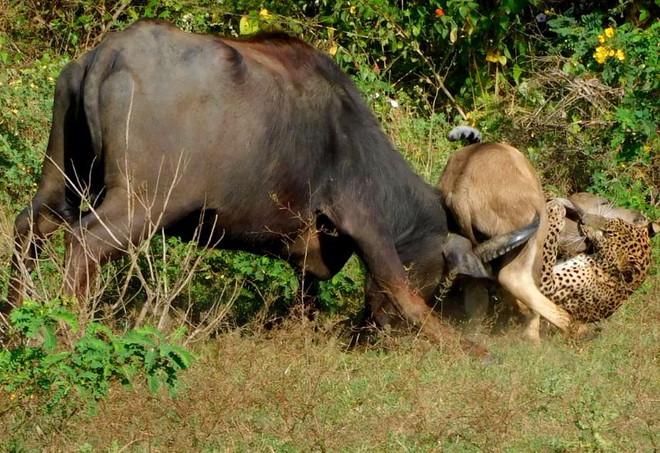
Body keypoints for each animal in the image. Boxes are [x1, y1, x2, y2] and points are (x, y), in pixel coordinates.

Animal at [7, 19, 524, 352]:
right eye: (441, 274)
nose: (383, 334)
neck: (347, 135)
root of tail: (107, 53)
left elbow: (307, 297)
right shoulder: (364, 221)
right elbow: (400, 289)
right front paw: (471, 349)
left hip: (62, 181)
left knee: (30, 228)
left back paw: (15, 324)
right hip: (141, 203)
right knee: (84, 245)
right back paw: (65, 337)